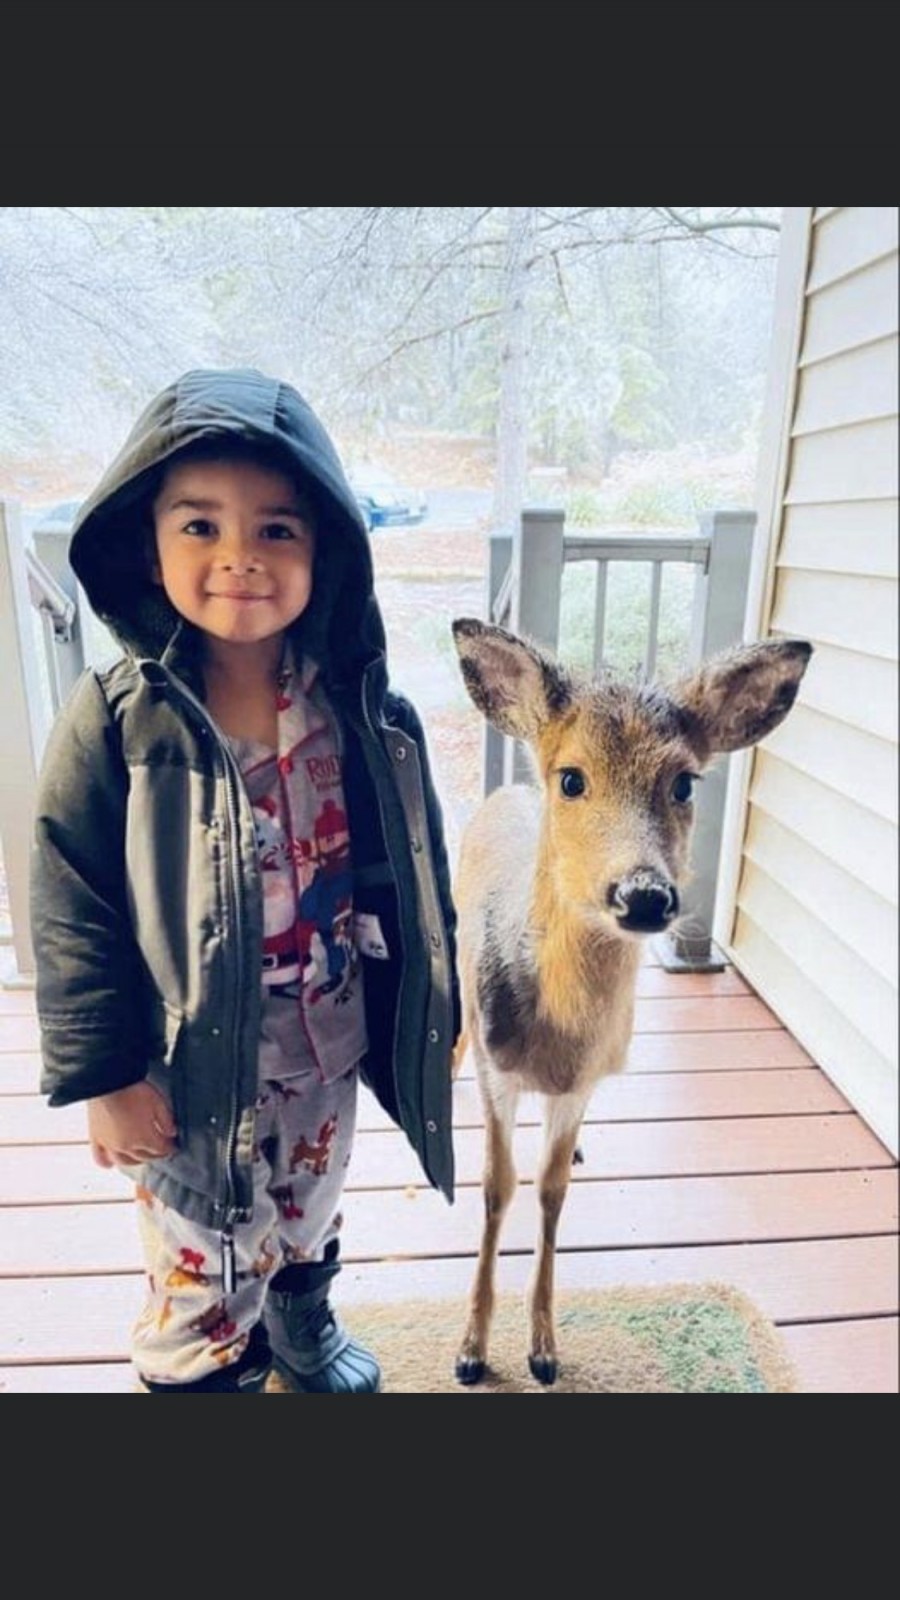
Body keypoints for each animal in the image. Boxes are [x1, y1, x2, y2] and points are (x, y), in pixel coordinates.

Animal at [451, 614, 810, 1388]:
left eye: (684, 782)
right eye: (572, 778)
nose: (643, 894)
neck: (555, 1040)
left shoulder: (584, 1081)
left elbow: (551, 1189)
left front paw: (544, 1348)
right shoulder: (498, 1068)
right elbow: (497, 1187)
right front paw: (470, 1350)